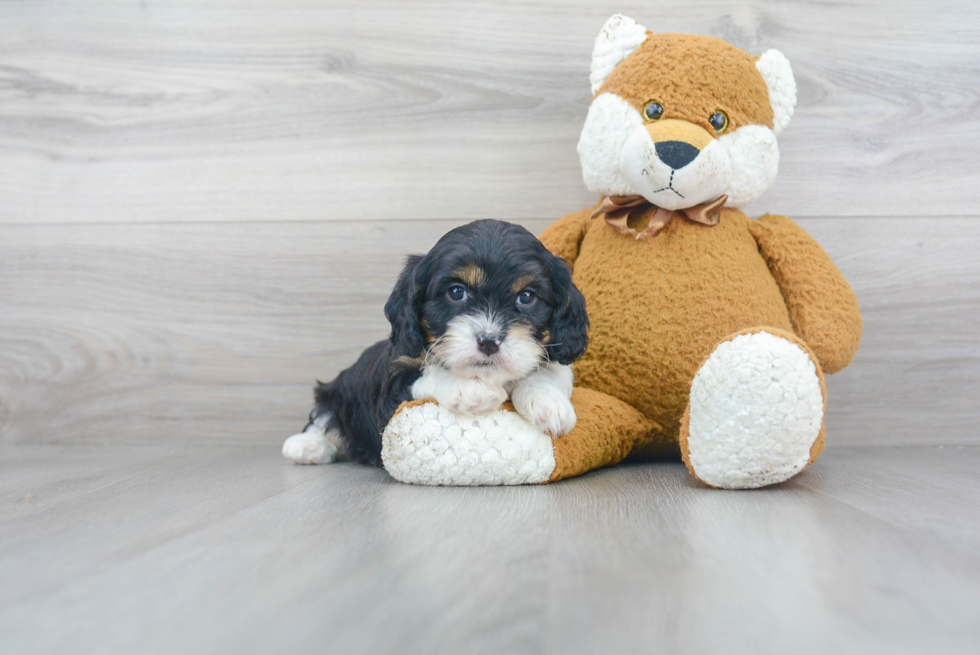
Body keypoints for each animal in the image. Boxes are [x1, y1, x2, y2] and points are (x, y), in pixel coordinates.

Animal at [284, 220, 588, 466]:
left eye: (526, 297)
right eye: (456, 292)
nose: (489, 341)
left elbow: (551, 370)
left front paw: (549, 403)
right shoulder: (393, 387)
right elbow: (427, 374)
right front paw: (470, 388)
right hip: (335, 392)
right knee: (322, 420)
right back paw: (305, 446)